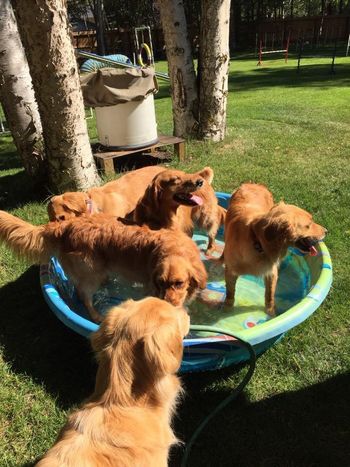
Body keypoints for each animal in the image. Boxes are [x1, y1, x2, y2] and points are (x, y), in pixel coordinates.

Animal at [0, 211, 206, 324]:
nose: (168, 303)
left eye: (179, 283)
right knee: (83, 295)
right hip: (91, 273)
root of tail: (66, 225)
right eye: (161, 283)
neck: (174, 248)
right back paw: (96, 316)